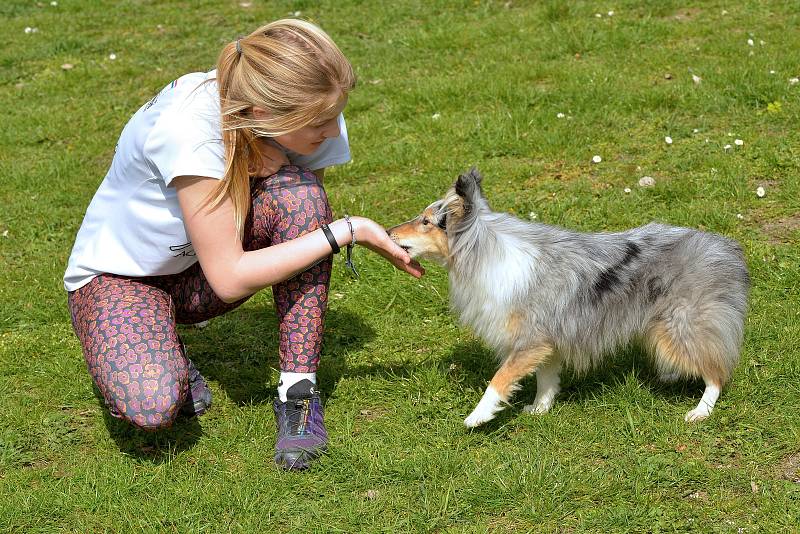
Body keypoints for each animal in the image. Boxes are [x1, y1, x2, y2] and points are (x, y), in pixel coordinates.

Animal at [390, 170, 752, 430]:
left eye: (425, 221)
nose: (390, 232)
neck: (487, 253)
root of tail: (727, 248)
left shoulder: (529, 339)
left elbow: (499, 379)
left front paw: (477, 417)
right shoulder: (547, 340)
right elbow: (546, 379)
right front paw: (540, 408)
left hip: (681, 323)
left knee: (716, 372)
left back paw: (700, 411)